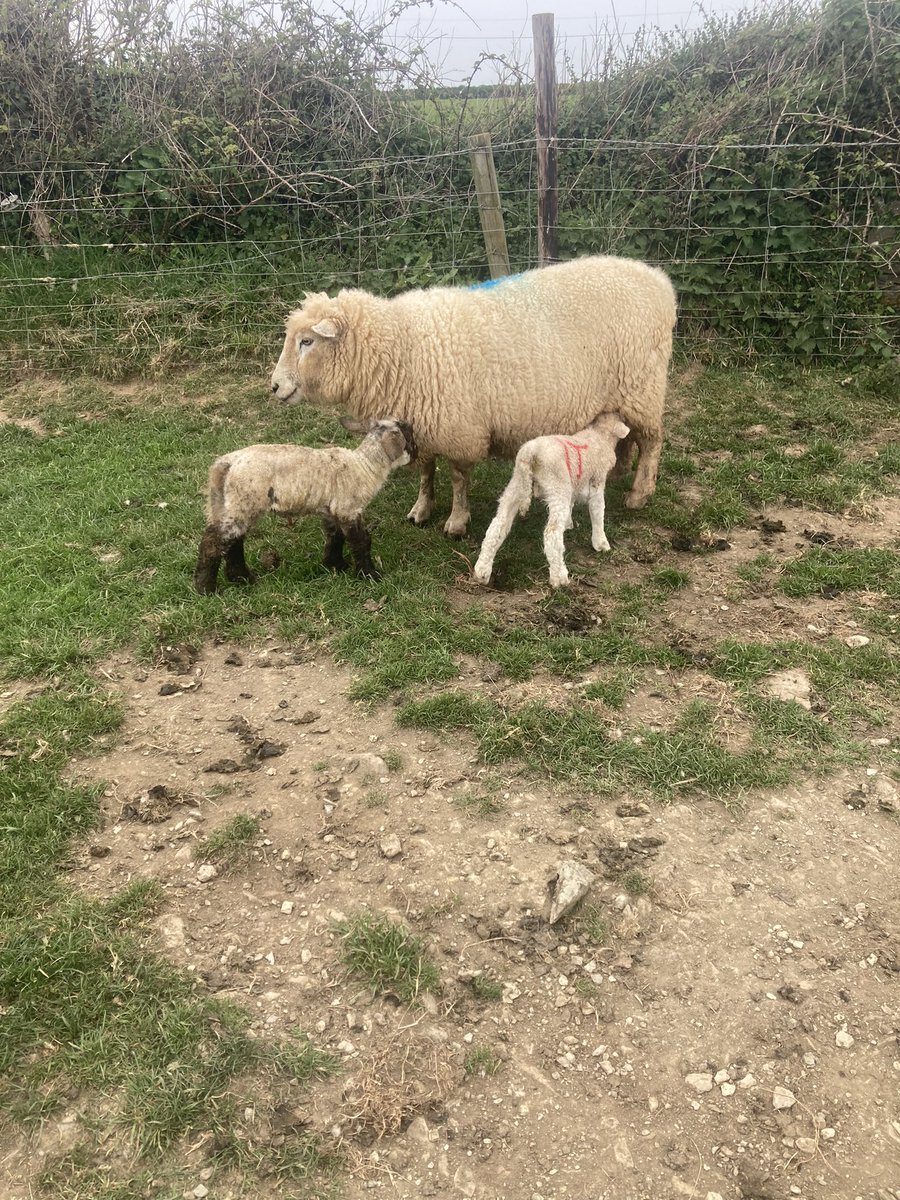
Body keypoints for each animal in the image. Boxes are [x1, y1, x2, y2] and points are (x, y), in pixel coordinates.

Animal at [193, 417, 416, 594]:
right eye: (409, 435)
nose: (416, 453)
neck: (364, 466)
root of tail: (227, 463)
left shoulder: (331, 510)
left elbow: (335, 537)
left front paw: (335, 565)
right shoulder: (348, 508)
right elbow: (361, 541)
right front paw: (369, 574)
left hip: (226, 504)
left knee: (233, 541)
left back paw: (241, 578)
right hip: (244, 501)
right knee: (213, 542)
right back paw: (206, 588)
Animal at [270, 255, 676, 537]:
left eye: (307, 342)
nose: (274, 386)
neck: (401, 347)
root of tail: (659, 282)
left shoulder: (459, 428)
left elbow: (457, 478)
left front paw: (456, 521)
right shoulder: (422, 423)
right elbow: (426, 471)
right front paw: (421, 510)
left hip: (643, 387)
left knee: (652, 440)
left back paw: (639, 493)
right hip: (623, 393)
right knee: (626, 433)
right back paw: (619, 468)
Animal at [473, 412, 630, 588]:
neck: (599, 435)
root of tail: (530, 453)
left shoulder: (572, 485)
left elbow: (572, 504)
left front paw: (568, 523)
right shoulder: (597, 483)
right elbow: (597, 513)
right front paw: (601, 544)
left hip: (517, 485)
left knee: (497, 527)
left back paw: (482, 571)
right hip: (556, 486)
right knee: (552, 534)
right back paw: (559, 577)